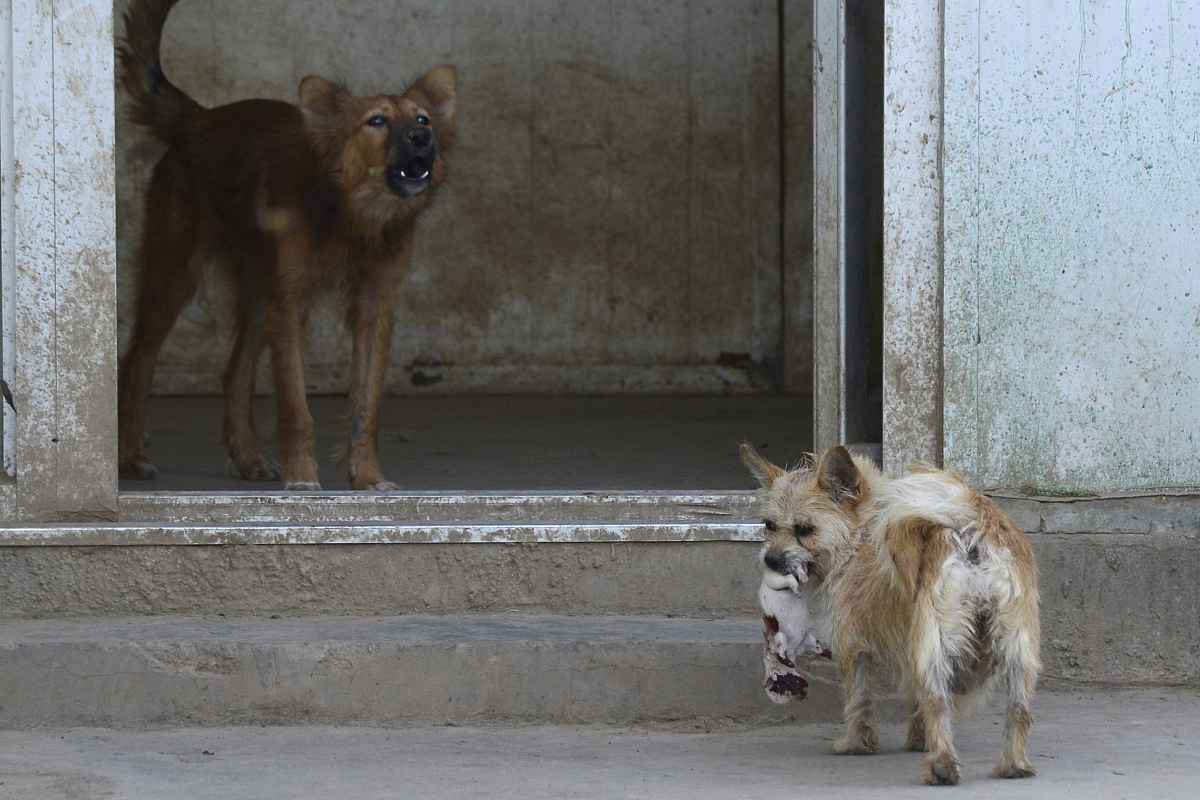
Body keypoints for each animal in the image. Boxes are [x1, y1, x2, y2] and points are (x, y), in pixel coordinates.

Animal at [115, 0, 453, 489]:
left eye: (422, 119)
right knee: (138, 361)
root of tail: (200, 119)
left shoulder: (373, 307)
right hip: (175, 276)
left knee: (234, 373)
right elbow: (295, 407)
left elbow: (365, 408)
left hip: (260, 295)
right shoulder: (291, 303)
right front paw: (302, 477)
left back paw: (247, 458)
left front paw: (367, 476)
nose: (423, 139)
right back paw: (130, 456)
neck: (352, 215)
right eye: (376, 122)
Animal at [739, 443, 1041, 786]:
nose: (771, 560)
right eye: (768, 525)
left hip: (935, 644)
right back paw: (1013, 765)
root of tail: (968, 526)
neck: (858, 532)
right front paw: (918, 739)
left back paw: (942, 766)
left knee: (937, 701)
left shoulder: (852, 646)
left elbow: (858, 700)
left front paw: (856, 744)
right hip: (1018, 647)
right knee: (1018, 708)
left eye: (805, 529)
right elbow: (913, 699)